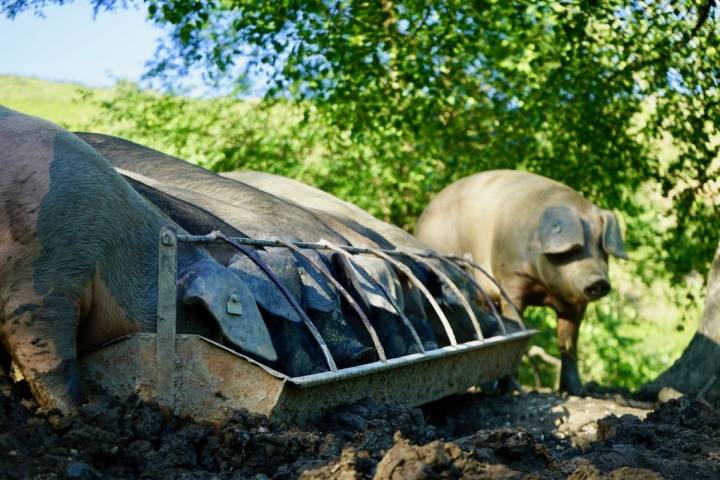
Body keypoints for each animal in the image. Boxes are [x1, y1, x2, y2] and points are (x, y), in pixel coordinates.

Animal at [414, 169, 628, 394]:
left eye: (601, 247)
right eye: (574, 249)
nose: (599, 281)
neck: (545, 288)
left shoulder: (575, 303)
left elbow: (567, 342)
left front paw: (576, 392)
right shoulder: (511, 278)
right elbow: (516, 323)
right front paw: (511, 390)